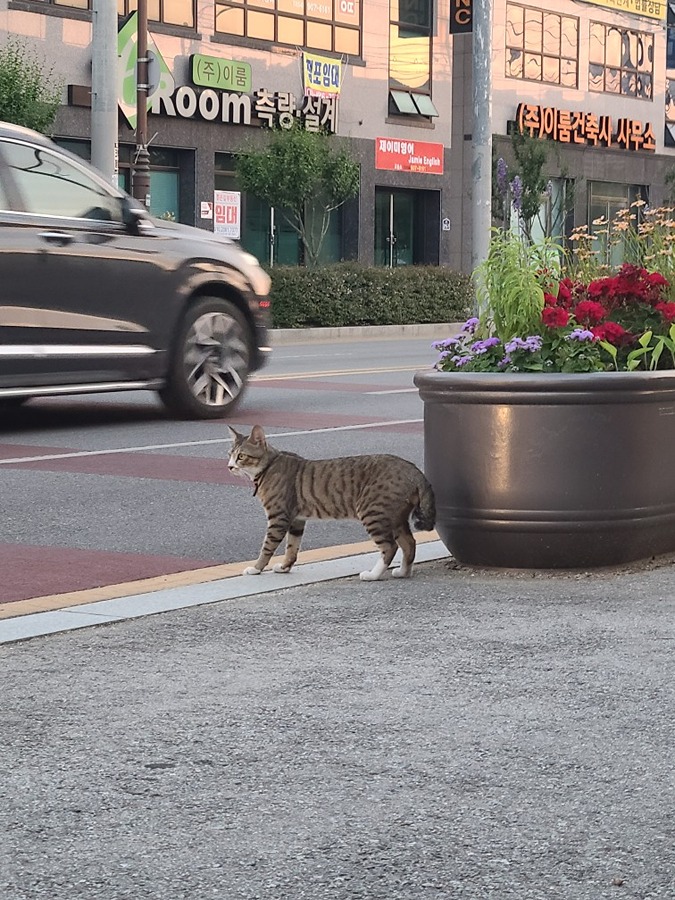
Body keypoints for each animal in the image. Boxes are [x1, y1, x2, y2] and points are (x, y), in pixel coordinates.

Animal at [228, 428, 438, 584]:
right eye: (229, 454)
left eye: (241, 456)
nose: (229, 466)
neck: (269, 465)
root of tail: (413, 470)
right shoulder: (297, 520)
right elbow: (292, 547)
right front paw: (285, 566)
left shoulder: (278, 517)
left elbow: (267, 547)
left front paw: (256, 568)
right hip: (395, 517)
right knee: (409, 543)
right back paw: (403, 572)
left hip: (372, 512)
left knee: (390, 547)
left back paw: (372, 575)